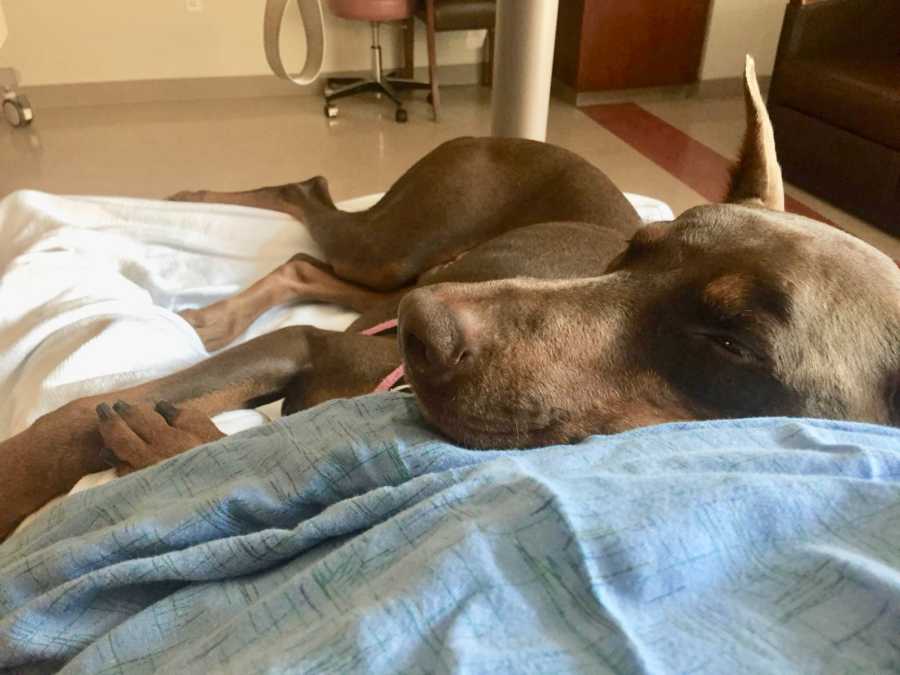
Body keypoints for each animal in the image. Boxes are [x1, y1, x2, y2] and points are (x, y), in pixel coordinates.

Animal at [0, 59, 896, 544]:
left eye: (733, 344)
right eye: (632, 250)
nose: (423, 334)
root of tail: (502, 130)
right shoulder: (308, 345)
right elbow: (73, 416)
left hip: (398, 270)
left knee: (306, 262)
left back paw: (216, 303)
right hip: (401, 247)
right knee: (307, 196)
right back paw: (195, 211)